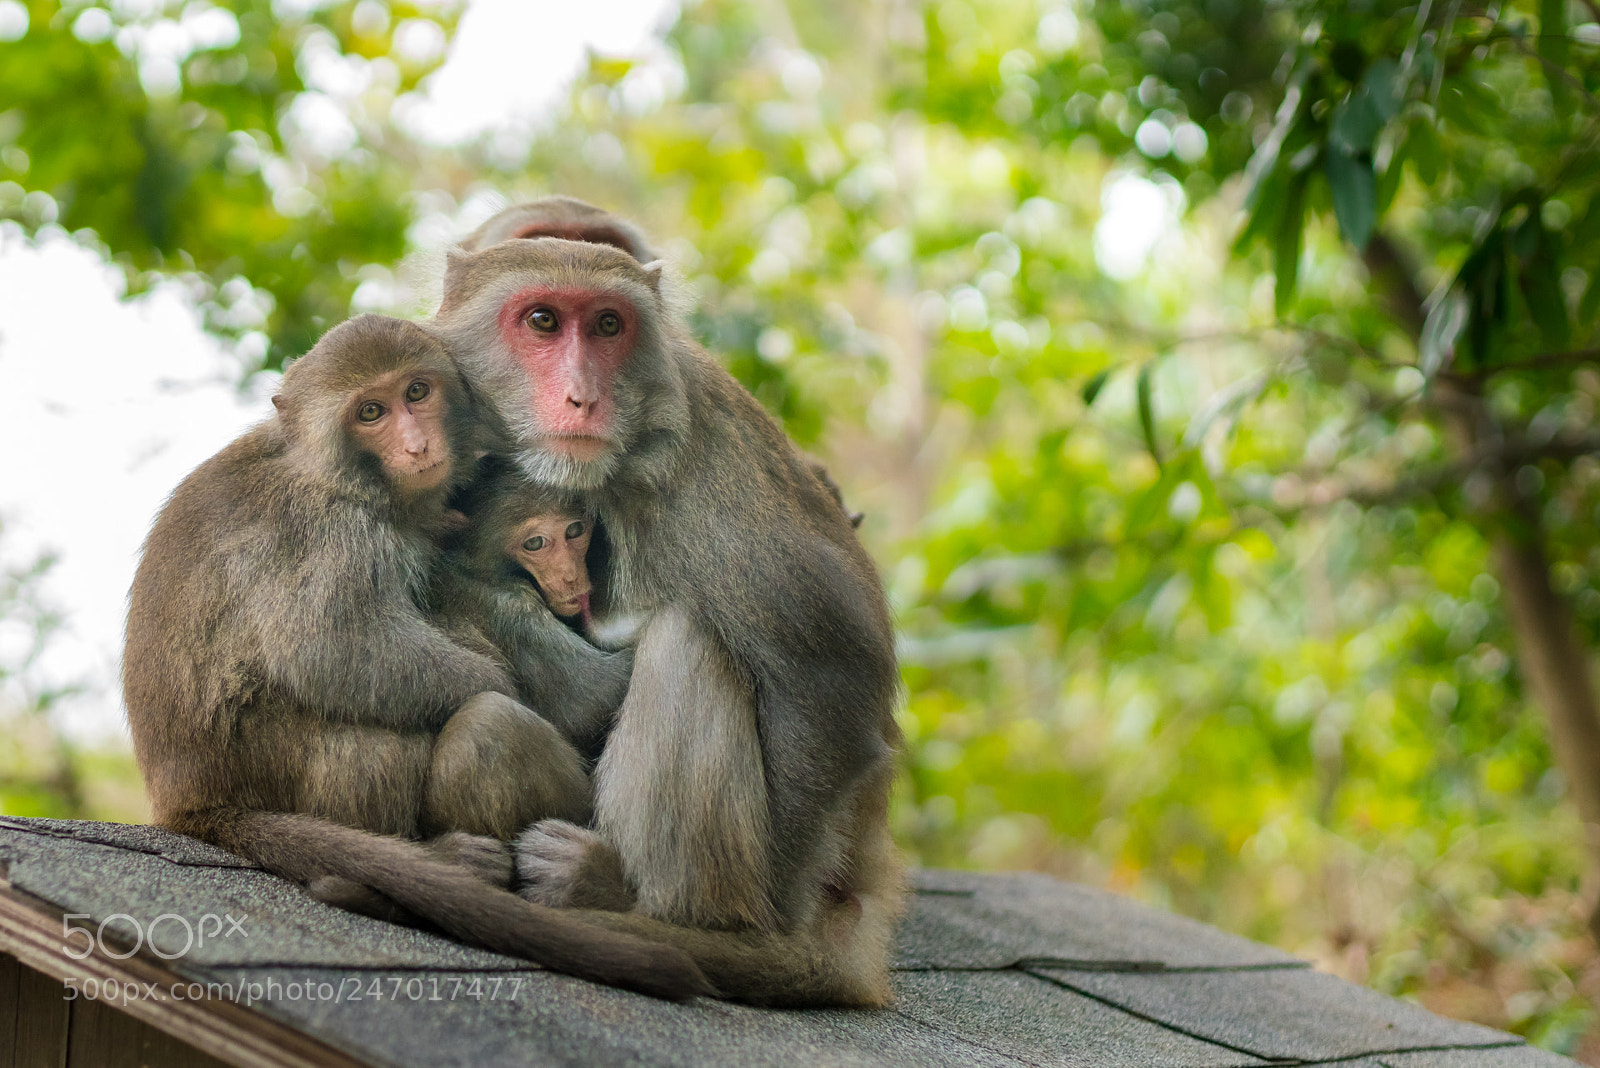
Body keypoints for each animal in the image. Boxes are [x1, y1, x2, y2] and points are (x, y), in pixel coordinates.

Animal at [123, 313, 711, 999]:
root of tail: (189, 805)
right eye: (370, 412)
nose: (415, 444)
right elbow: (332, 648)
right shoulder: (334, 528)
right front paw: (501, 668)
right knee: (446, 729)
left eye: (417, 393)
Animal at [433, 232, 905, 1007]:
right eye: (542, 321)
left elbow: (835, 669)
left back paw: (636, 898)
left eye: (608, 326)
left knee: (686, 645)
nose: (584, 396)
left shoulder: (706, 472)